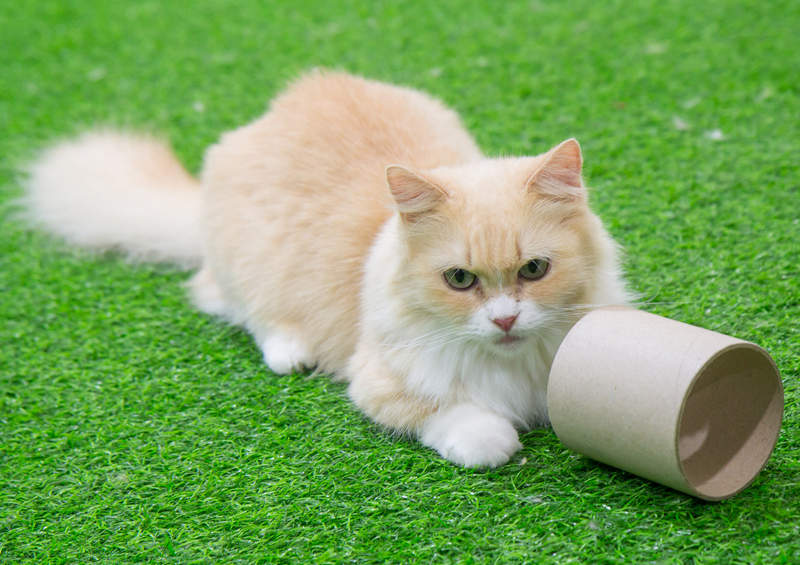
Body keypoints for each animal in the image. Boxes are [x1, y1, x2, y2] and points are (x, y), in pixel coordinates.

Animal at [26, 69, 632, 468]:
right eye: (459, 280)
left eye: (534, 270)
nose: (505, 320)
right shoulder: (380, 379)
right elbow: (469, 426)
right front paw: (496, 440)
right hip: (247, 269)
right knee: (241, 312)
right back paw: (292, 353)